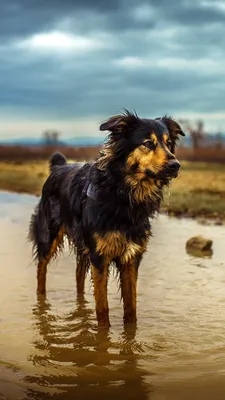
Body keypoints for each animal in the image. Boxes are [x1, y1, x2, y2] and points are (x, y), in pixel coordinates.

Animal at [29, 110, 185, 328]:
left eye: (168, 143)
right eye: (147, 143)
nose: (175, 165)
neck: (123, 195)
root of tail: (59, 167)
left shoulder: (131, 257)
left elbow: (131, 309)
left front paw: (130, 334)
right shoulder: (100, 257)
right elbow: (102, 311)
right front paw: (103, 336)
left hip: (83, 246)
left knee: (78, 276)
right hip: (48, 236)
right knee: (41, 270)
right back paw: (41, 305)